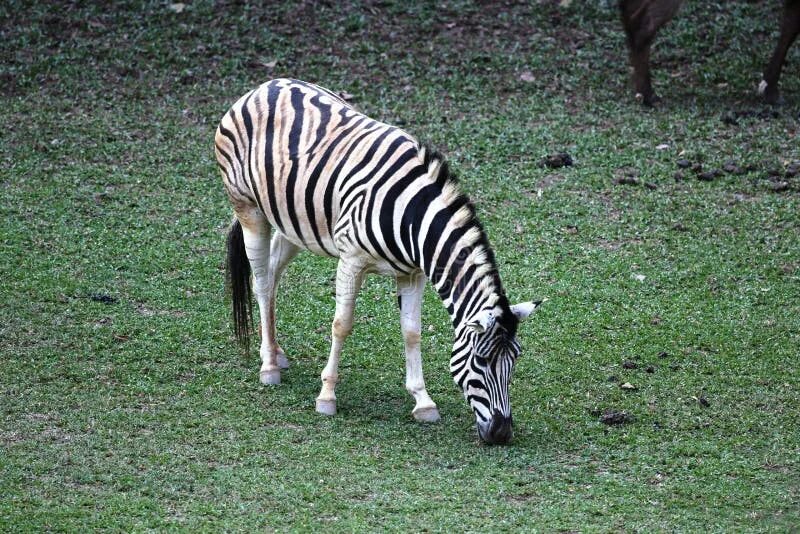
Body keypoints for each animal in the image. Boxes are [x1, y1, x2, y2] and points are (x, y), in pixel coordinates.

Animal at [212, 78, 540, 448]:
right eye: (482, 361)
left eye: (515, 358)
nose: (502, 433)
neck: (413, 216)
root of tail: (266, 86)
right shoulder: (351, 260)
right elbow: (341, 325)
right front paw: (327, 396)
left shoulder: (413, 273)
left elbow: (412, 332)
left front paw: (423, 402)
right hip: (249, 208)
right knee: (262, 281)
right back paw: (268, 365)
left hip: (293, 223)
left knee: (272, 273)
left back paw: (277, 352)